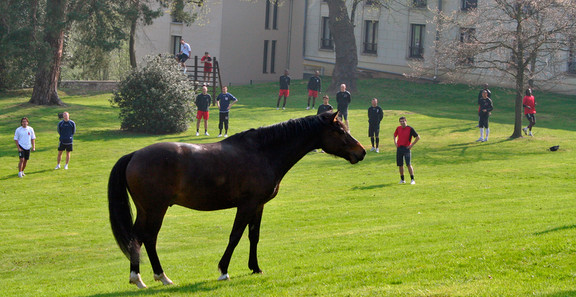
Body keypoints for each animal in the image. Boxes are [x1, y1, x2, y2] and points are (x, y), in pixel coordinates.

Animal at [108, 110, 364, 286]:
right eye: (340, 131)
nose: (361, 152)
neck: (262, 152)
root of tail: (134, 155)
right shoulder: (246, 205)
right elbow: (235, 236)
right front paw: (224, 270)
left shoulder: (258, 206)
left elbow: (254, 236)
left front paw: (255, 267)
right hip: (156, 209)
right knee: (148, 238)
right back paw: (158, 277)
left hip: (146, 209)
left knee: (137, 237)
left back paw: (141, 278)